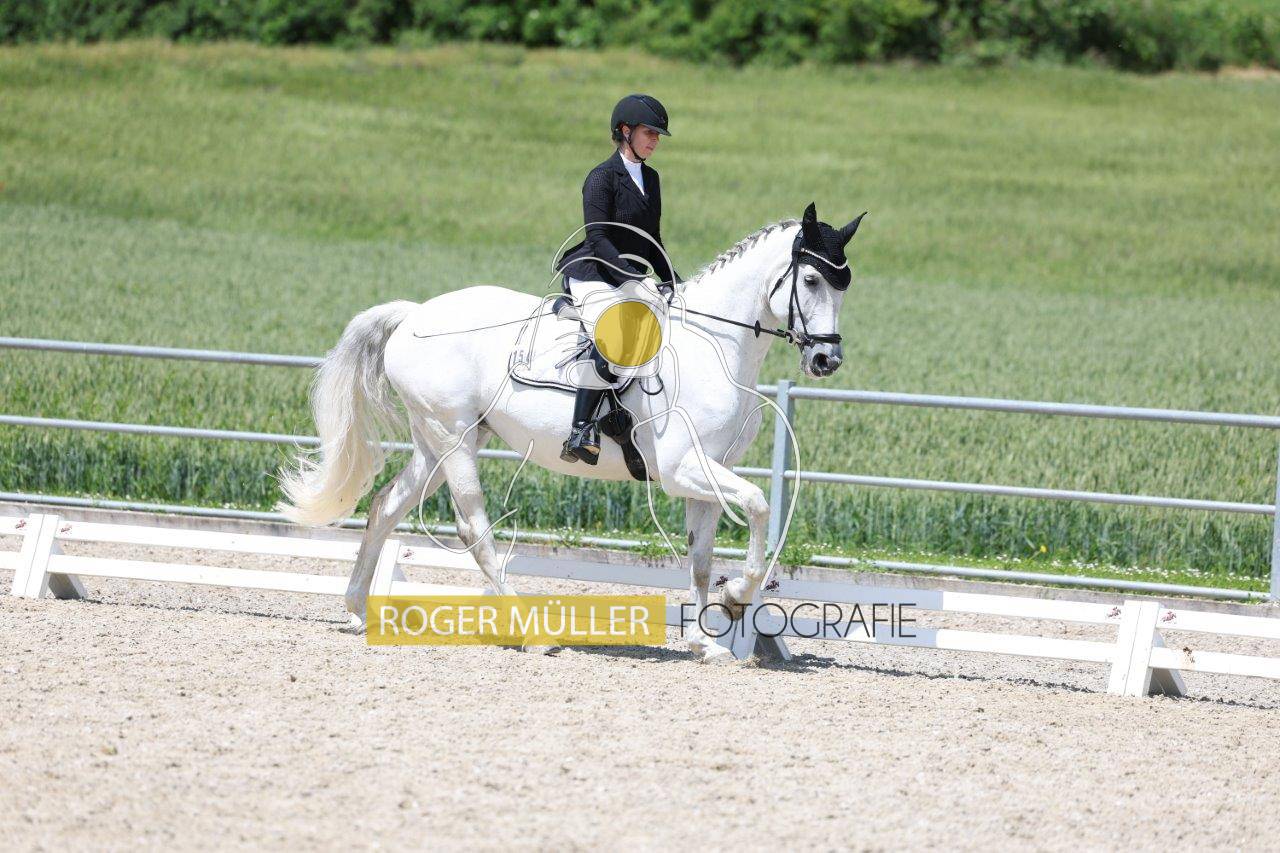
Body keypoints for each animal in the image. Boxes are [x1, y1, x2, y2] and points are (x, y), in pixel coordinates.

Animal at [276, 202, 864, 663]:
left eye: (845, 285)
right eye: (812, 280)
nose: (826, 360)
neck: (716, 345)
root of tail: (414, 315)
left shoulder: (712, 470)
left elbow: (700, 558)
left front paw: (707, 640)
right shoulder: (682, 469)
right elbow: (760, 505)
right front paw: (738, 597)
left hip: (438, 440)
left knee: (385, 506)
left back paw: (357, 610)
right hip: (453, 438)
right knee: (473, 528)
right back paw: (527, 630)